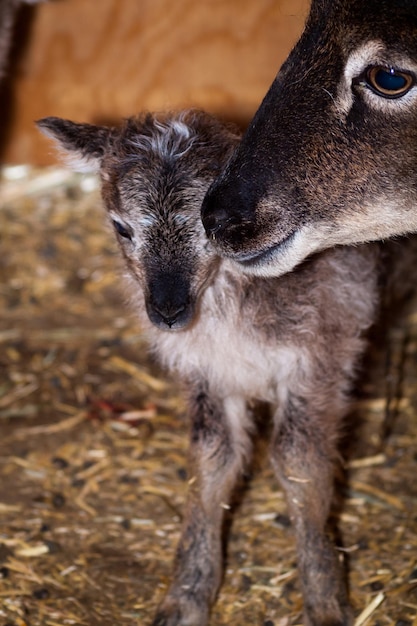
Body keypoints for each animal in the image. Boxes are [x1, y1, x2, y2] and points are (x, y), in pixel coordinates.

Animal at [38, 109, 400, 620]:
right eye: (121, 227)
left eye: (210, 224)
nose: (167, 310)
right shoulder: (210, 374)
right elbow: (212, 461)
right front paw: (186, 596)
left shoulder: (320, 357)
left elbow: (298, 462)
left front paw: (325, 600)